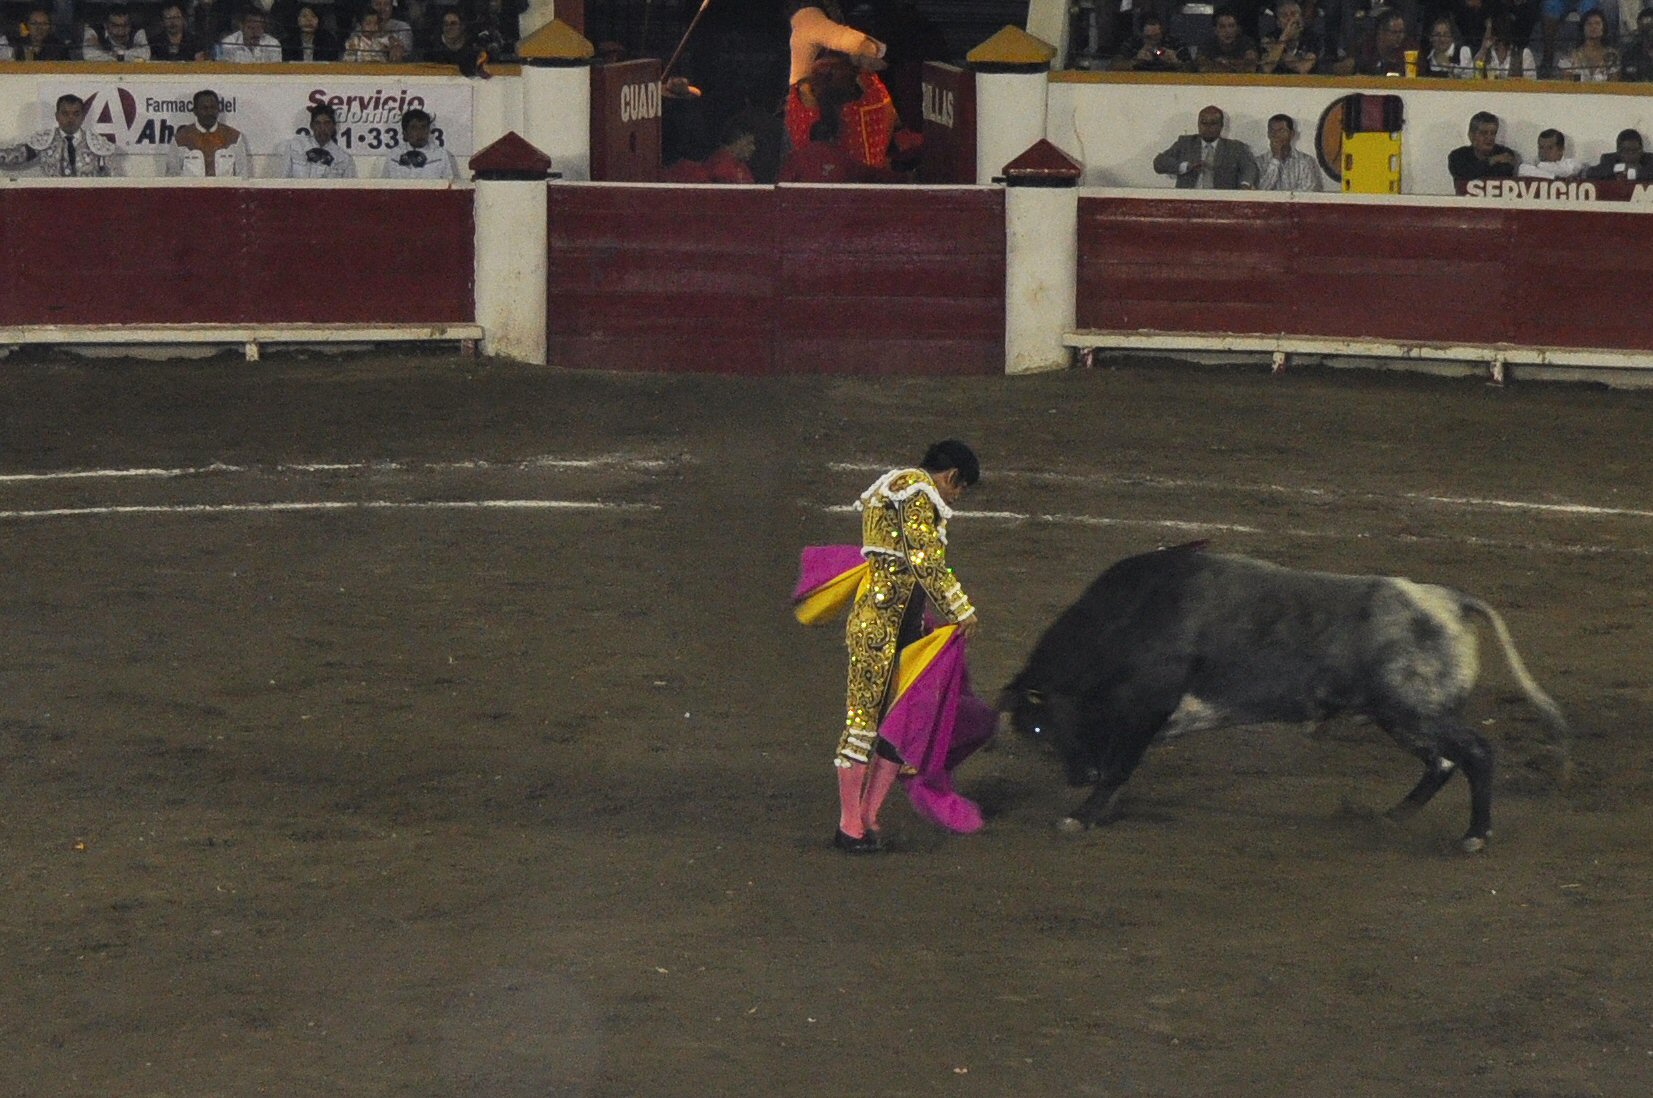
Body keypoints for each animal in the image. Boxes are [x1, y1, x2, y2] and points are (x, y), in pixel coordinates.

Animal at [998, 545, 1567, 853]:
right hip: (1400, 716)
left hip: (1414, 709)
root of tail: (1447, 600)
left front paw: (1082, 814)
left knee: (1474, 753)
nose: (1079, 775)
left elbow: (1121, 764)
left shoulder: (1146, 706)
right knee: (1442, 762)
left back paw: (1475, 836)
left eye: (1039, 725)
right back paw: (1392, 816)